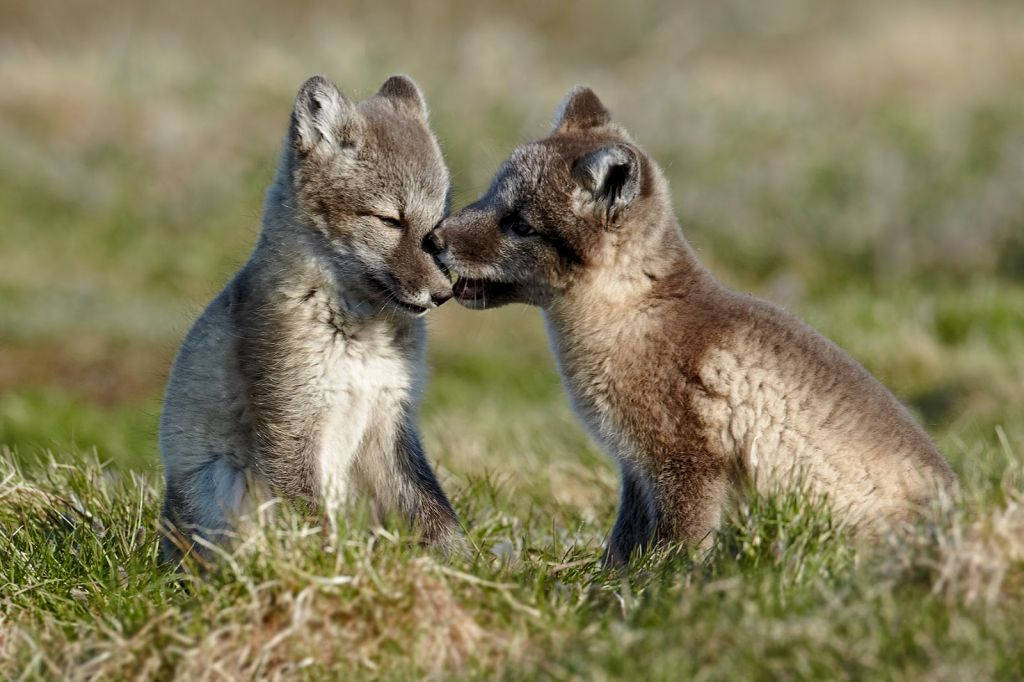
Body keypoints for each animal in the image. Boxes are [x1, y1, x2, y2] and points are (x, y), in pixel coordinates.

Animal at [158, 74, 461, 564]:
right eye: (390, 220)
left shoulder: (391, 419)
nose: (443, 293)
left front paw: (472, 566)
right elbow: (312, 522)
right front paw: (329, 570)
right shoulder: (291, 419)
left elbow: (436, 511)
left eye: (438, 225)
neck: (362, 338)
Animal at [434, 86, 957, 565]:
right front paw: (609, 584)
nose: (432, 239)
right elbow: (623, 545)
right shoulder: (635, 467)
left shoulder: (685, 461)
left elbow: (679, 547)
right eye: (489, 195)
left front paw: (666, 590)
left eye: (520, 225)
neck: (631, 318)